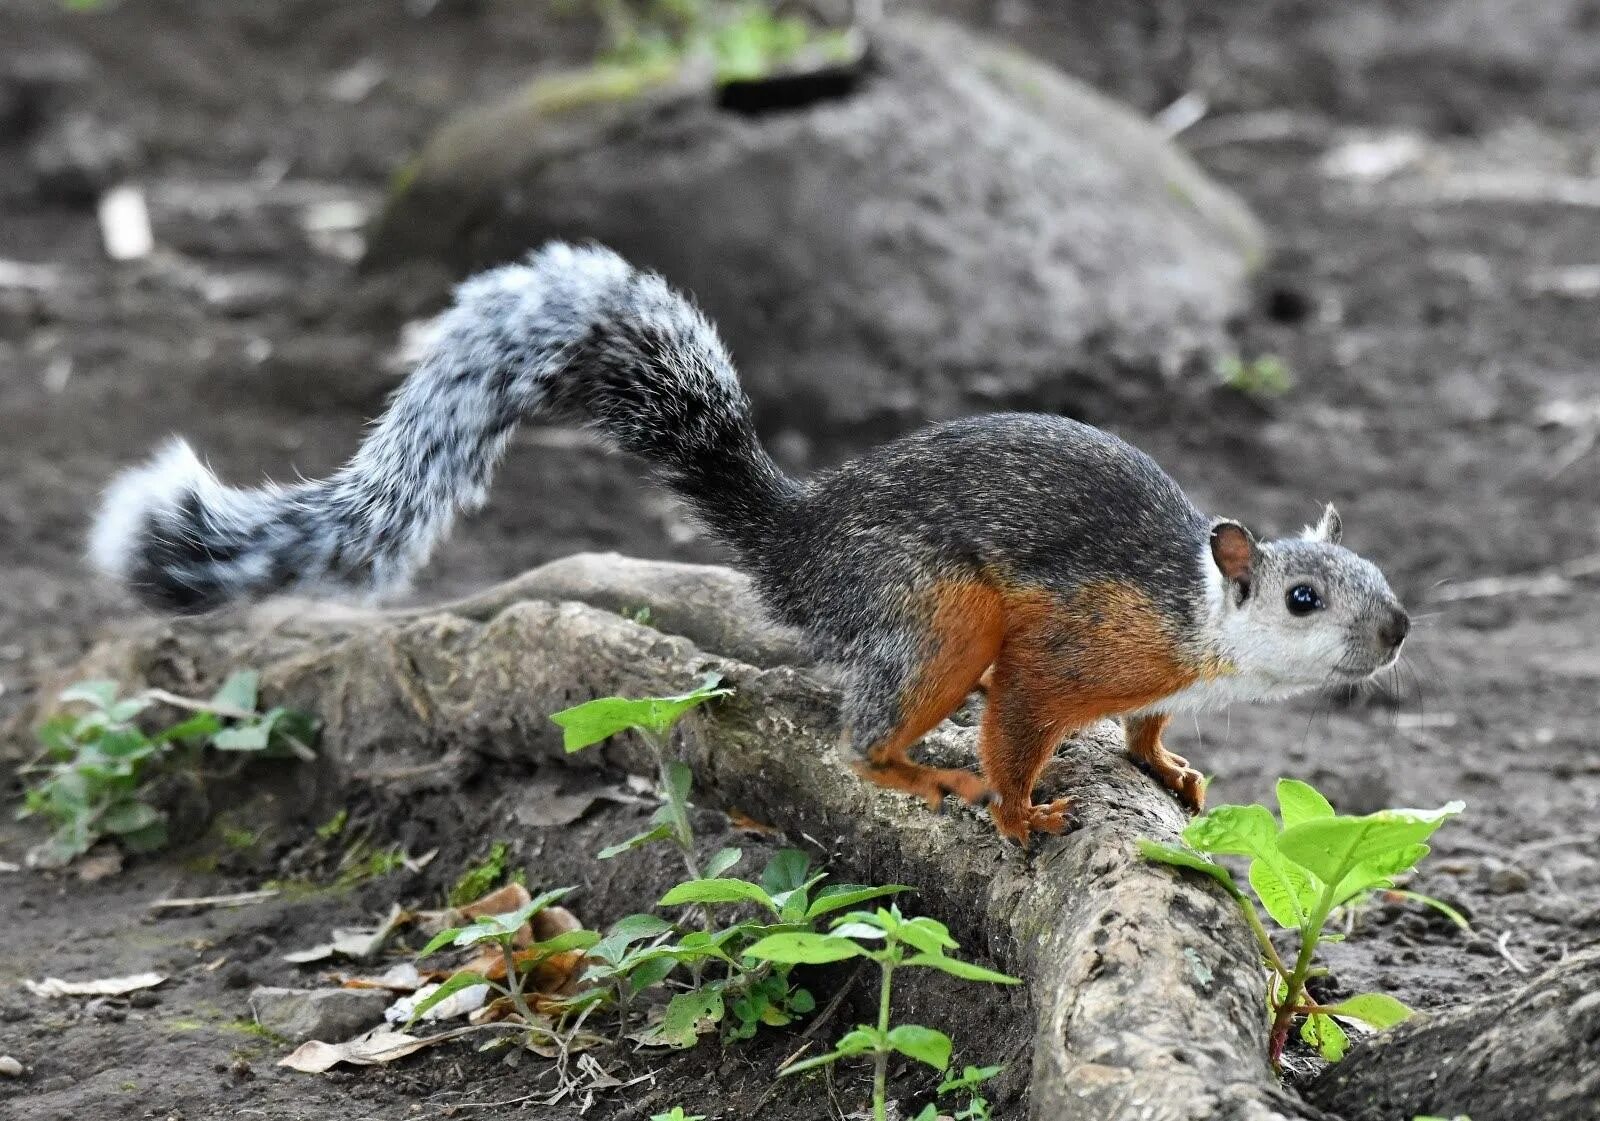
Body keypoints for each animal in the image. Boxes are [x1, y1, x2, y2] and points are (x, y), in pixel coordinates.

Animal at [90, 243, 1414, 837]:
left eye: (1377, 575)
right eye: (1302, 596)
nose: (1398, 629)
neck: (1197, 622)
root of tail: (800, 537)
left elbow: (1143, 728)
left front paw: (1169, 765)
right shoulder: (1068, 649)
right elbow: (1023, 725)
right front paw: (1018, 811)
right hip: (935, 612)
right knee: (861, 734)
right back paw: (913, 770)